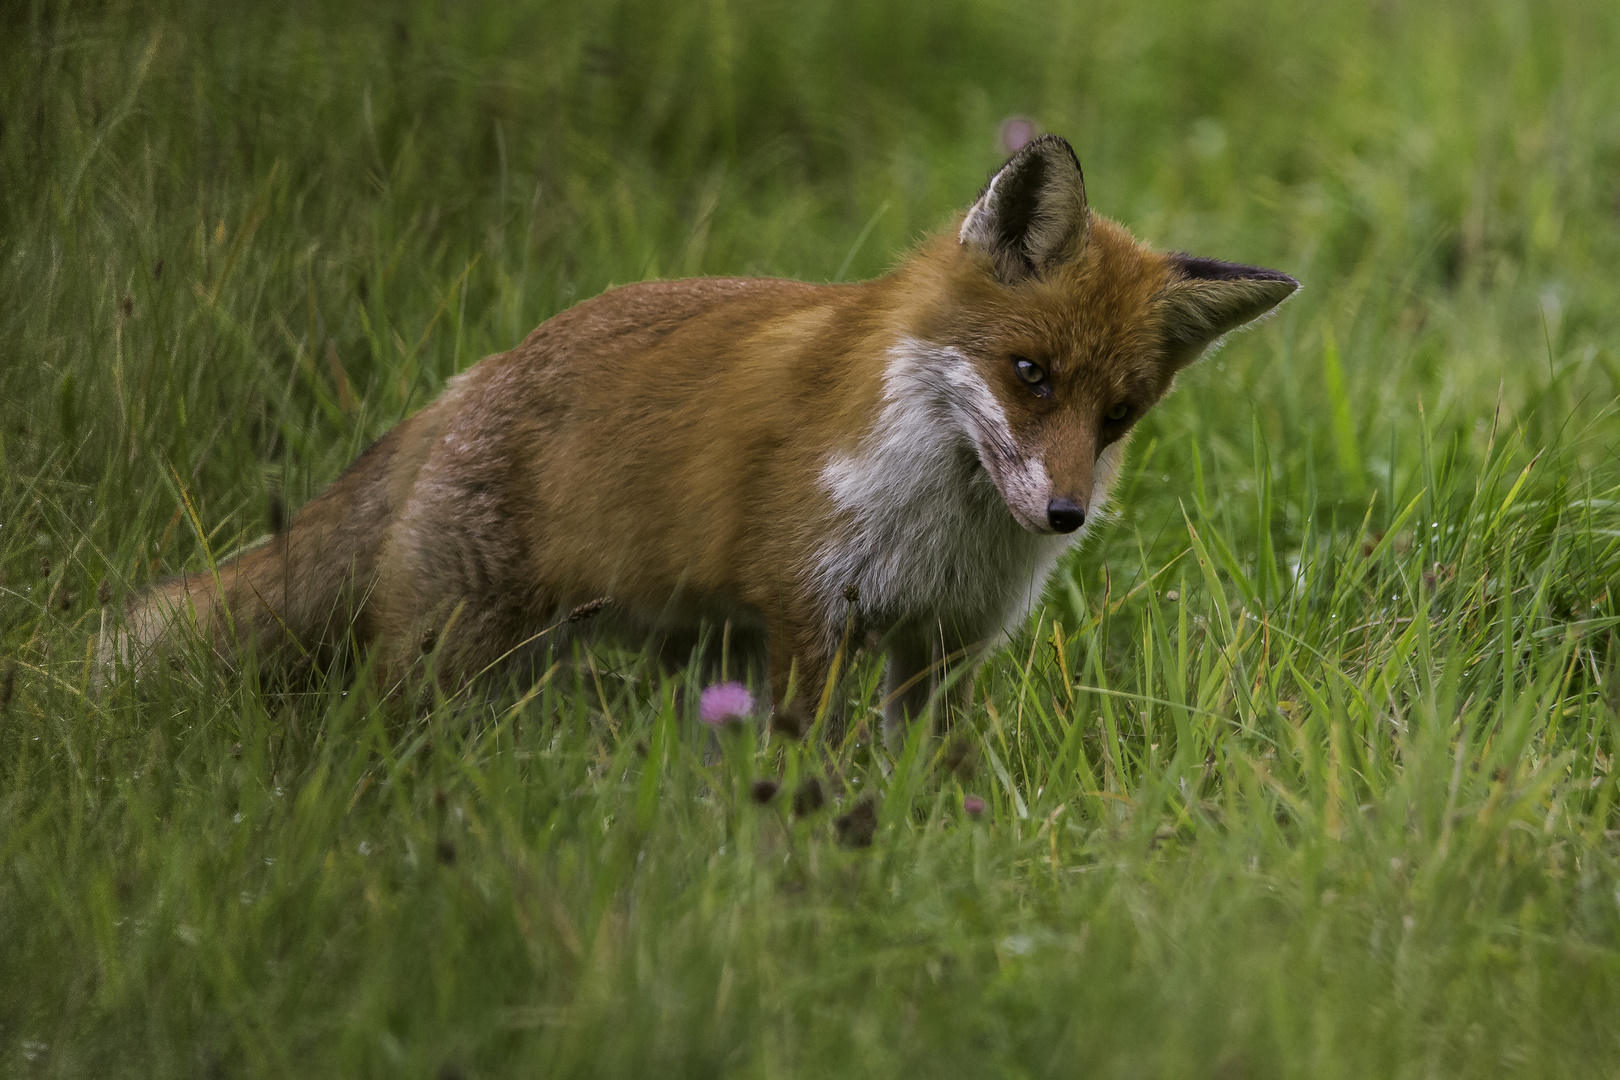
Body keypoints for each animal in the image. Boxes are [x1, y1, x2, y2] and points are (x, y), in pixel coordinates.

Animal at [114, 135, 1296, 744]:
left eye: (1118, 417)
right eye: (1029, 374)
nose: (1062, 513)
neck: (940, 526)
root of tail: (473, 378)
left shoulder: (943, 645)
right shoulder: (812, 613)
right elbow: (815, 760)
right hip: (454, 654)